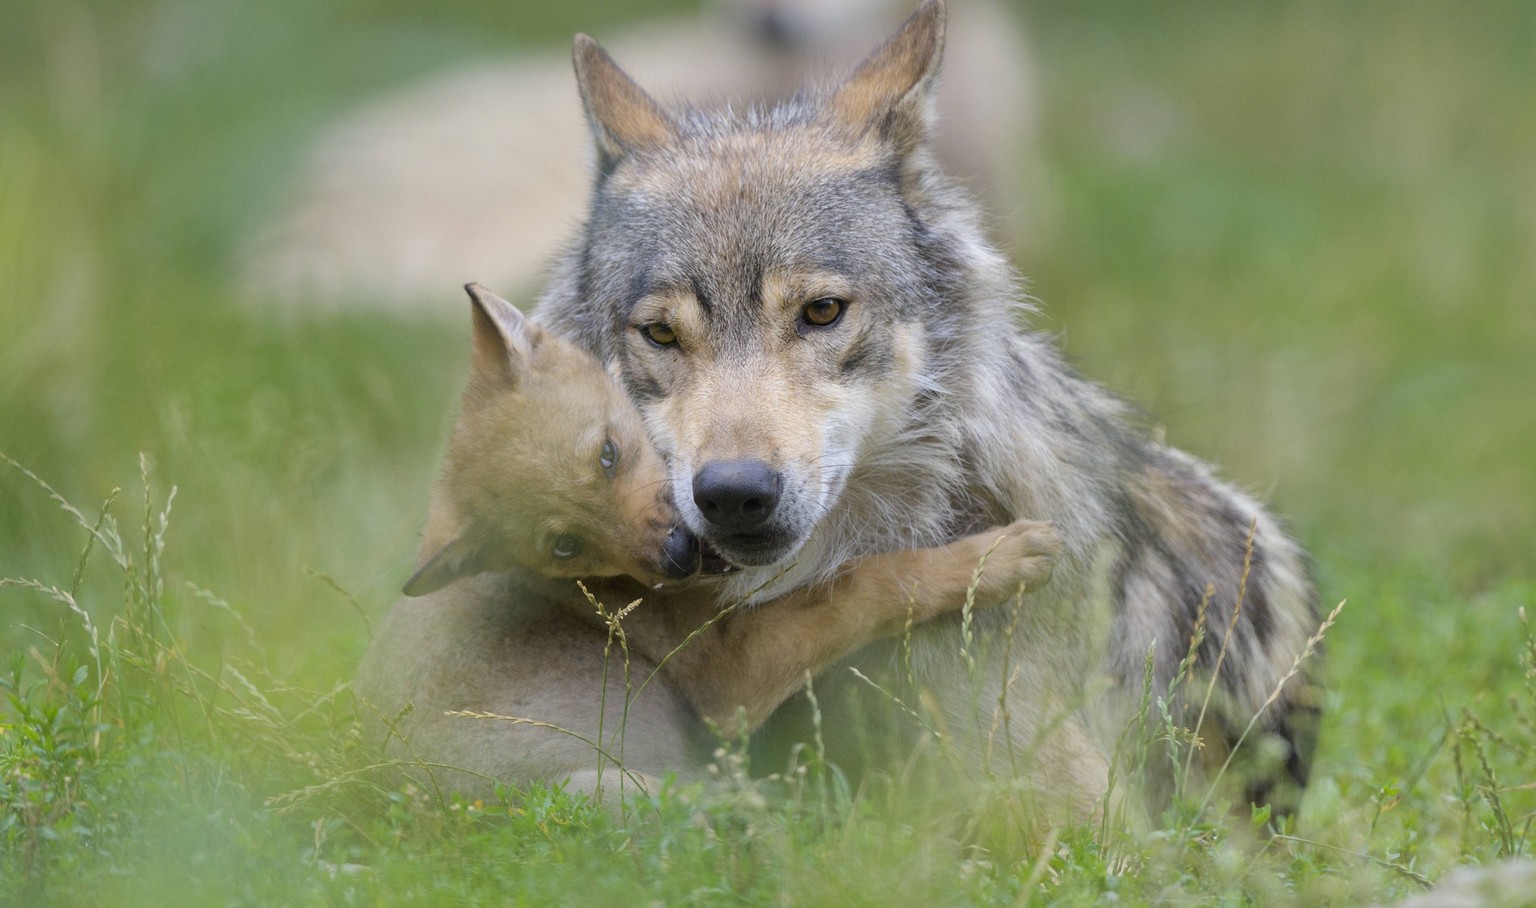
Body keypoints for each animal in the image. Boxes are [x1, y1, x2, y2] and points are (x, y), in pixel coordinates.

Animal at [353, 282, 1062, 805]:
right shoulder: (731, 679)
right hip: (605, 786)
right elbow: (864, 583)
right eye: (565, 547)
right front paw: (997, 559)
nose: (676, 556)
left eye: (608, 455)